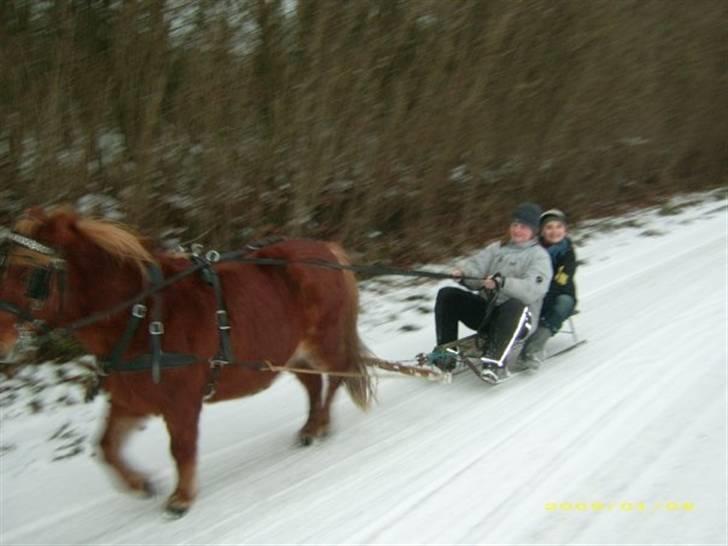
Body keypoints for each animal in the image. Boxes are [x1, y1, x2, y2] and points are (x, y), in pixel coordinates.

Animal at [0, 206, 372, 512]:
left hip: (323, 343)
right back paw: (309, 428)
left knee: (338, 376)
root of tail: (326, 249)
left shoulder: (181, 403)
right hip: (291, 354)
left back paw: (322, 424)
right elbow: (106, 446)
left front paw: (181, 498)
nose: (2, 338)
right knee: (313, 385)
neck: (141, 316)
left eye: (30, 274)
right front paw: (140, 484)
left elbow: (181, 448)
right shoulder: (131, 400)